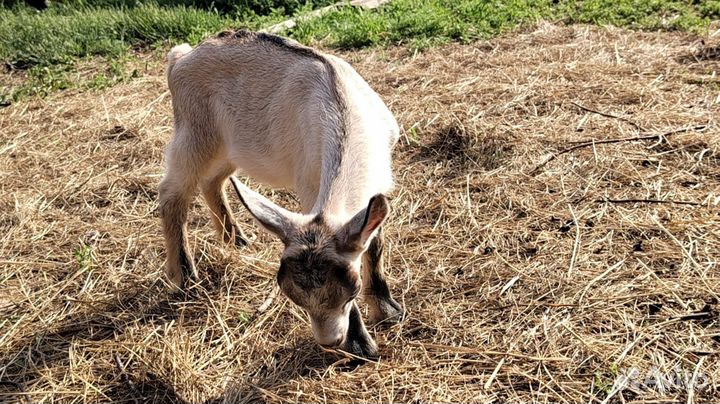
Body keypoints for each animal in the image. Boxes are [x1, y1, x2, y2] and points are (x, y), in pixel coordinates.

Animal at [160, 31, 402, 360]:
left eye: (352, 287)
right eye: (292, 295)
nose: (330, 341)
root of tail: (181, 56)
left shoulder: (378, 188)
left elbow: (374, 246)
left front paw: (387, 310)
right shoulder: (310, 186)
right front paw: (360, 345)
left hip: (229, 145)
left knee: (212, 181)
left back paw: (235, 239)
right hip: (194, 133)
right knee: (172, 193)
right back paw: (185, 276)